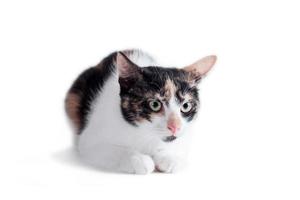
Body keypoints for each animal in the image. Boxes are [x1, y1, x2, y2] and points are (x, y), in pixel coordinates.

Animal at [65, 49, 216, 174]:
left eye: (186, 106)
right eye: (155, 104)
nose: (175, 127)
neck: (144, 133)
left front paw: (168, 157)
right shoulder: (90, 140)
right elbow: (109, 149)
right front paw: (138, 159)